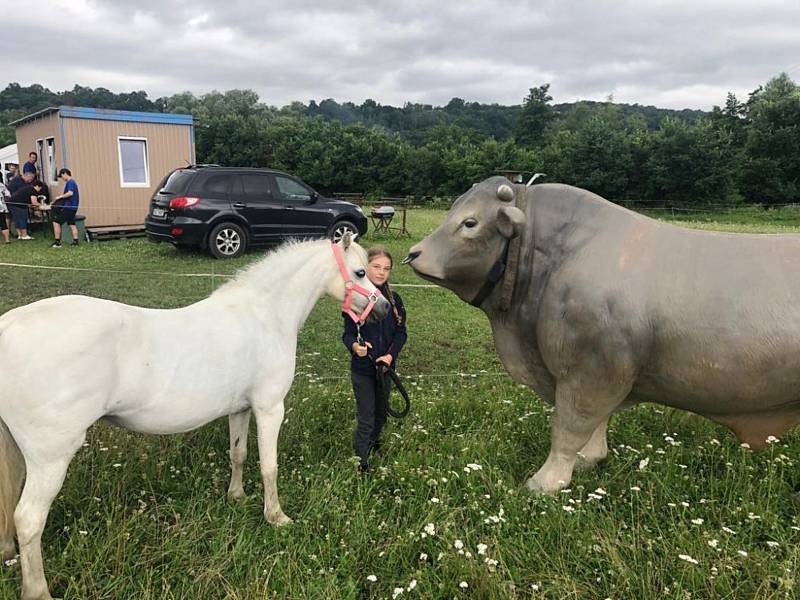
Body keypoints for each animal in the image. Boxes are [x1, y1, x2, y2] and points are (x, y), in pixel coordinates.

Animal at [0, 236, 388, 600]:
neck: (263, 316)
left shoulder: (240, 409)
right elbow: (269, 466)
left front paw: (236, 496)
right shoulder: (269, 408)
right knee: (29, 519)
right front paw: (276, 517)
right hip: (51, 457)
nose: (384, 308)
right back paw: (38, 591)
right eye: (360, 273)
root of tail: (8, 327)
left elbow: (238, 454)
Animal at [404, 177, 800, 492]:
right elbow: (595, 425)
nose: (413, 254)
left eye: (470, 222)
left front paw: (545, 483)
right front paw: (587, 460)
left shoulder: (593, 369)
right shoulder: (593, 370)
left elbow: (569, 426)